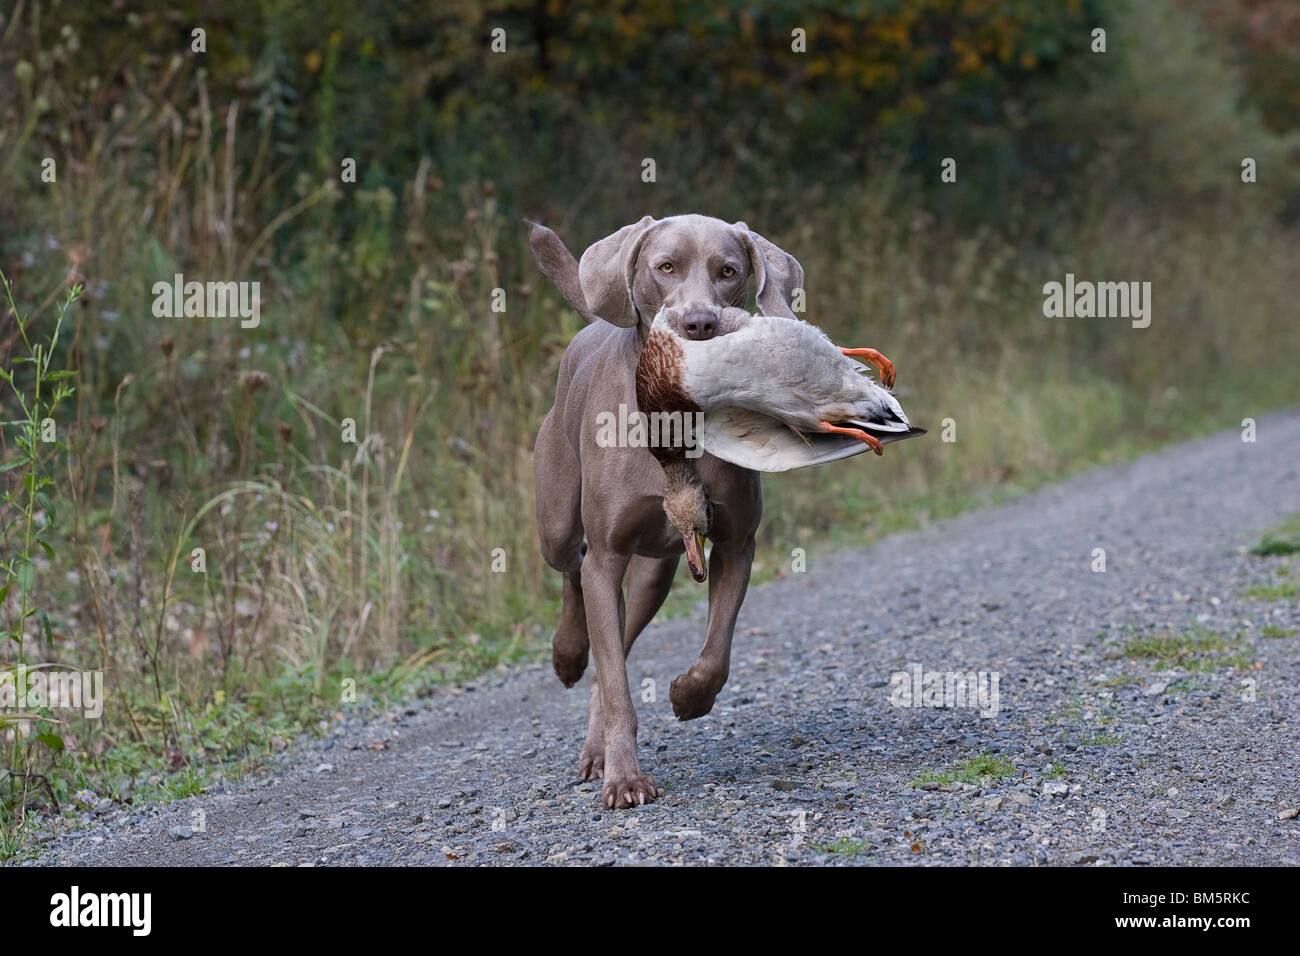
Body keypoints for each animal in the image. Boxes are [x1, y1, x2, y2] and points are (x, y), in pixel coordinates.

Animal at [527, 214, 800, 806]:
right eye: (666, 266)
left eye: (728, 271)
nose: (699, 322)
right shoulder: (607, 557)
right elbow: (616, 681)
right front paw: (627, 779)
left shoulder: (736, 544)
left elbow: (716, 652)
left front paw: (688, 697)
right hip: (557, 520)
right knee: (572, 574)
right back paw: (567, 654)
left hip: (656, 573)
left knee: (617, 649)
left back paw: (596, 749)